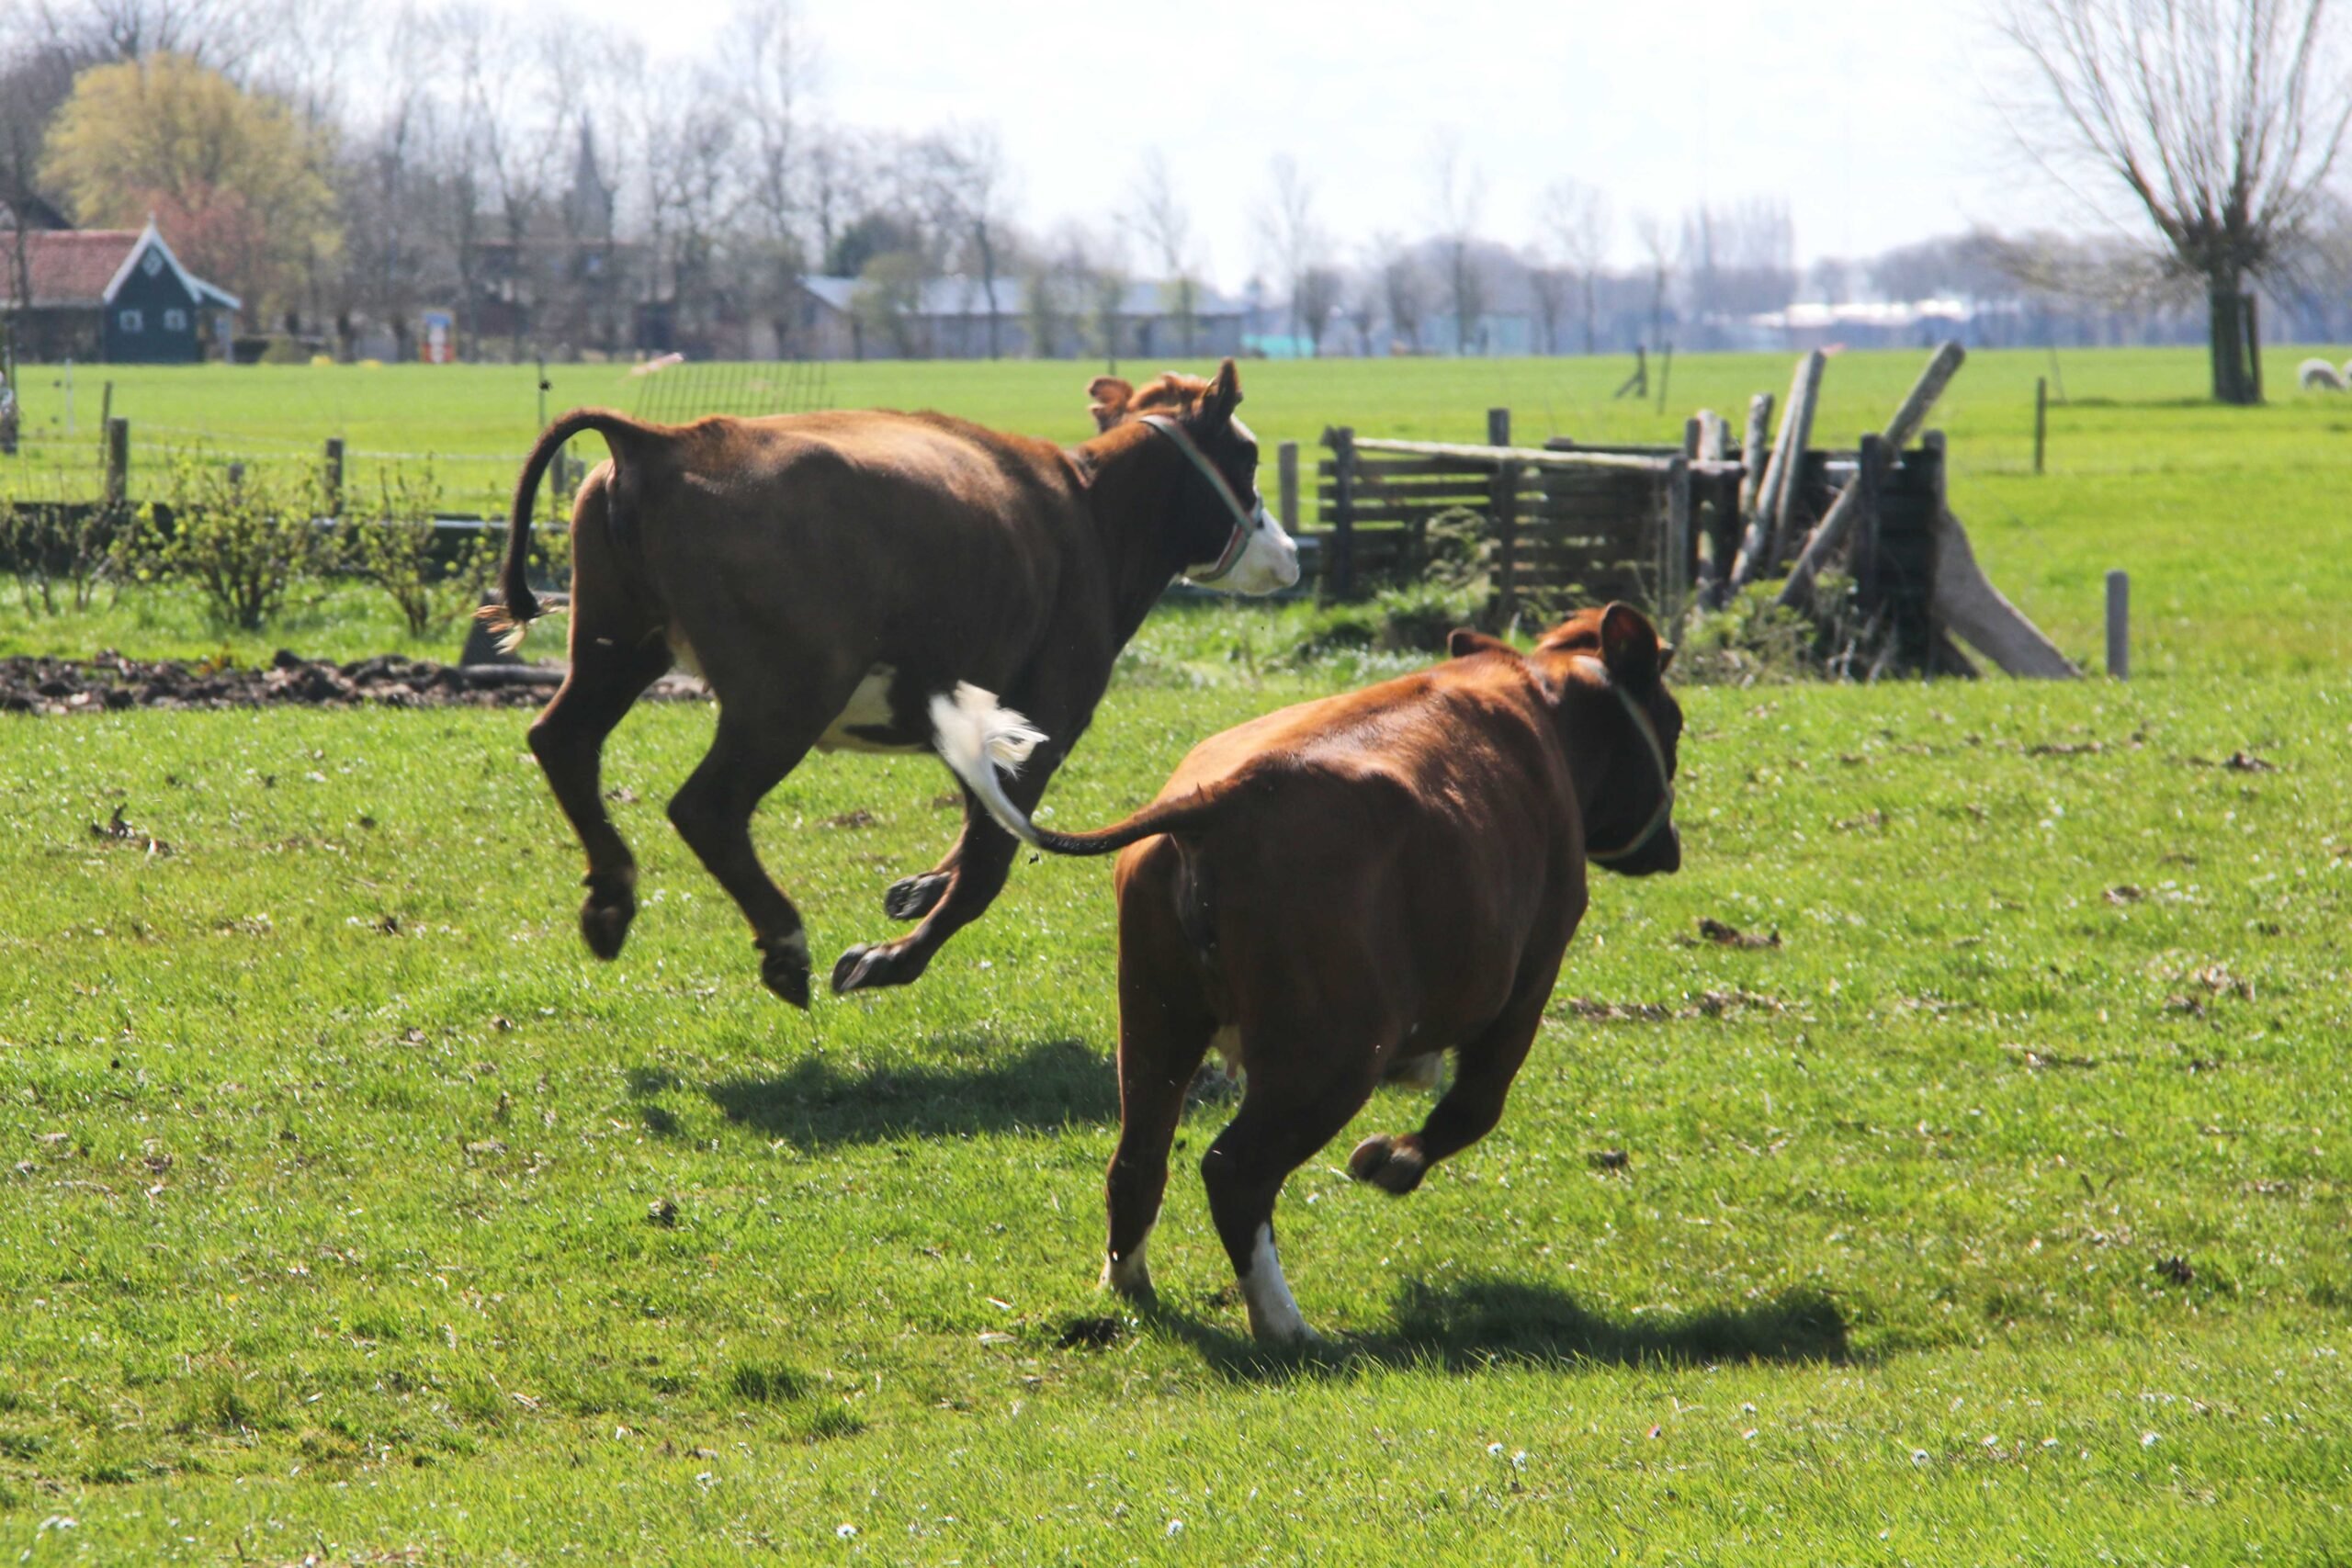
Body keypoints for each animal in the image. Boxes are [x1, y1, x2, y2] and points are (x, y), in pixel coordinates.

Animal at [481, 360, 1298, 1009]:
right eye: (1248, 455)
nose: (1290, 552)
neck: (1092, 510)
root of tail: (663, 439)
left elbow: (979, 822)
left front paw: (921, 888)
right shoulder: (1047, 717)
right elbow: (988, 861)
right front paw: (891, 958)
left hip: (617, 648)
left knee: (563, 740)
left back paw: (611, 897)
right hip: (786, 696)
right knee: (705, 806)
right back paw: (784, 943)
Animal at [931, 603, 1683, 1343]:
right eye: (1673, 723)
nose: (1671, 846)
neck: (1541, 696)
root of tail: (1223, 798)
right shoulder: (1533, 970)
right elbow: (1476, 1105)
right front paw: (1395, 1161)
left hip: (1154, 1021)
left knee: (1138, 1159)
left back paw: (1130, 1285)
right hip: (1330, 1056)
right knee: (1235, 1171)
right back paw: (1285, 1325)